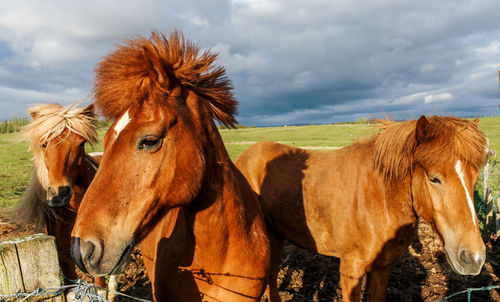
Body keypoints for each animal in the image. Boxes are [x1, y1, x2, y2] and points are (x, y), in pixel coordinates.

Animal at [235, 116, 488, 302]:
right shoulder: (351, 270)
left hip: (276, 235)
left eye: (475, 178)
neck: (379, 197)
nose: (473, 257)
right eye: (434, 178)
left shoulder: (383, 269)